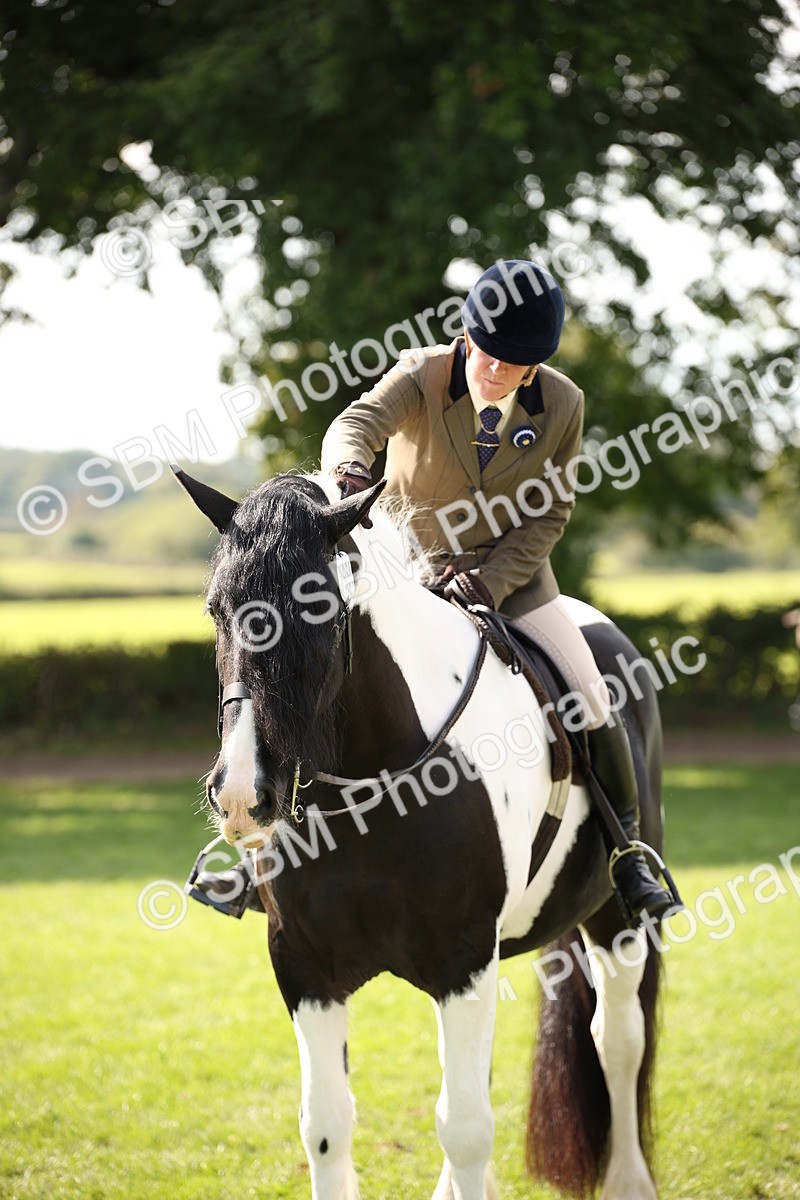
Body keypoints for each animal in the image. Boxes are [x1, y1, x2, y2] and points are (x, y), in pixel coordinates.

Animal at [174, 465, 667, 1200]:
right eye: (215, 608)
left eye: (319, 610)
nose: (241, 792)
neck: (371, 782)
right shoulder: (304, 964)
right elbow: (326, 1123)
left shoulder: (463, 959)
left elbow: (464, 1127)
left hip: (613, 920)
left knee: (618, 1041)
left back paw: (629, 1181)